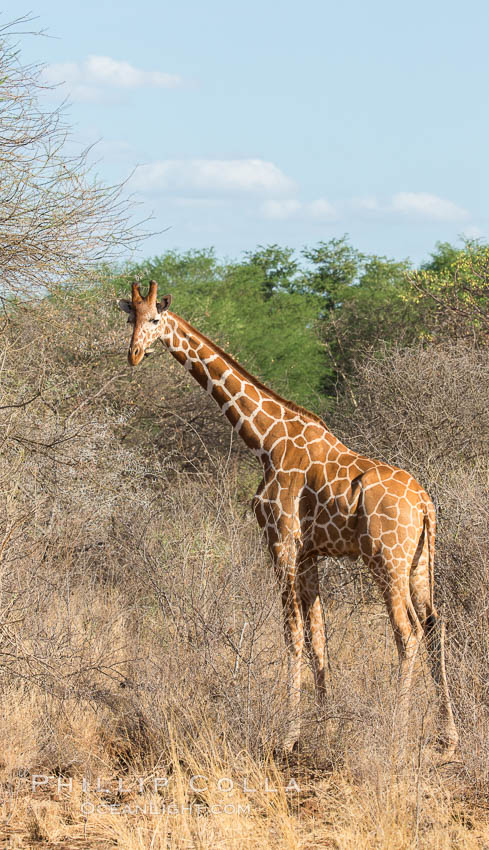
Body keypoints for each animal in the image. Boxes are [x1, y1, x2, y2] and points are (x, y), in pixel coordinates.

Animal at [117, 278, 458, 756]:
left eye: (154, 319)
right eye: (130, 316)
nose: (133, 354)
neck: (265, 439)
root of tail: (426, 503)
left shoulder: (280, 541)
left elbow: (292, 634)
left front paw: (289, 734)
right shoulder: (311, 552)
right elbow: (318, 638)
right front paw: (327, 726)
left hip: (386, 559)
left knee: (406, 633)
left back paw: (396, 731)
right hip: (419, 562)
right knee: (433, 625)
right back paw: (449, 737)